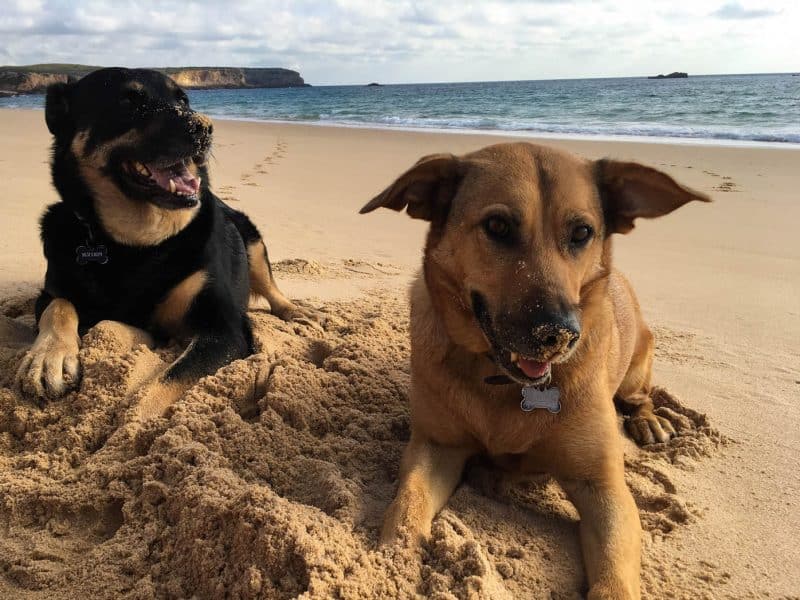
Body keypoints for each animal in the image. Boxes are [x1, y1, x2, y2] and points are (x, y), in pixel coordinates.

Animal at [18, 65, 306, 412]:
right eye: (129, 100)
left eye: (183, 100)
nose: (204, 128)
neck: (138, 242)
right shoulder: (53, 289)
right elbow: (59, 304)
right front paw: (49, 357)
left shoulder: (225, 329)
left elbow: (164, 382)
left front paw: (130, 422)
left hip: (251, 239)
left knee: (271, 286)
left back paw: (295, 313)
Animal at [360, 143, 708, 596]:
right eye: (497, 225)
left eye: (582, 233)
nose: (557, 334)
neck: (499, 380)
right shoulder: (436, 447)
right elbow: (407, 507)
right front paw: (393, 560)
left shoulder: (604, 486)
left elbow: (614, 574)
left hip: (638, 360)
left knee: (640, 396)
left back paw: (650, 421)